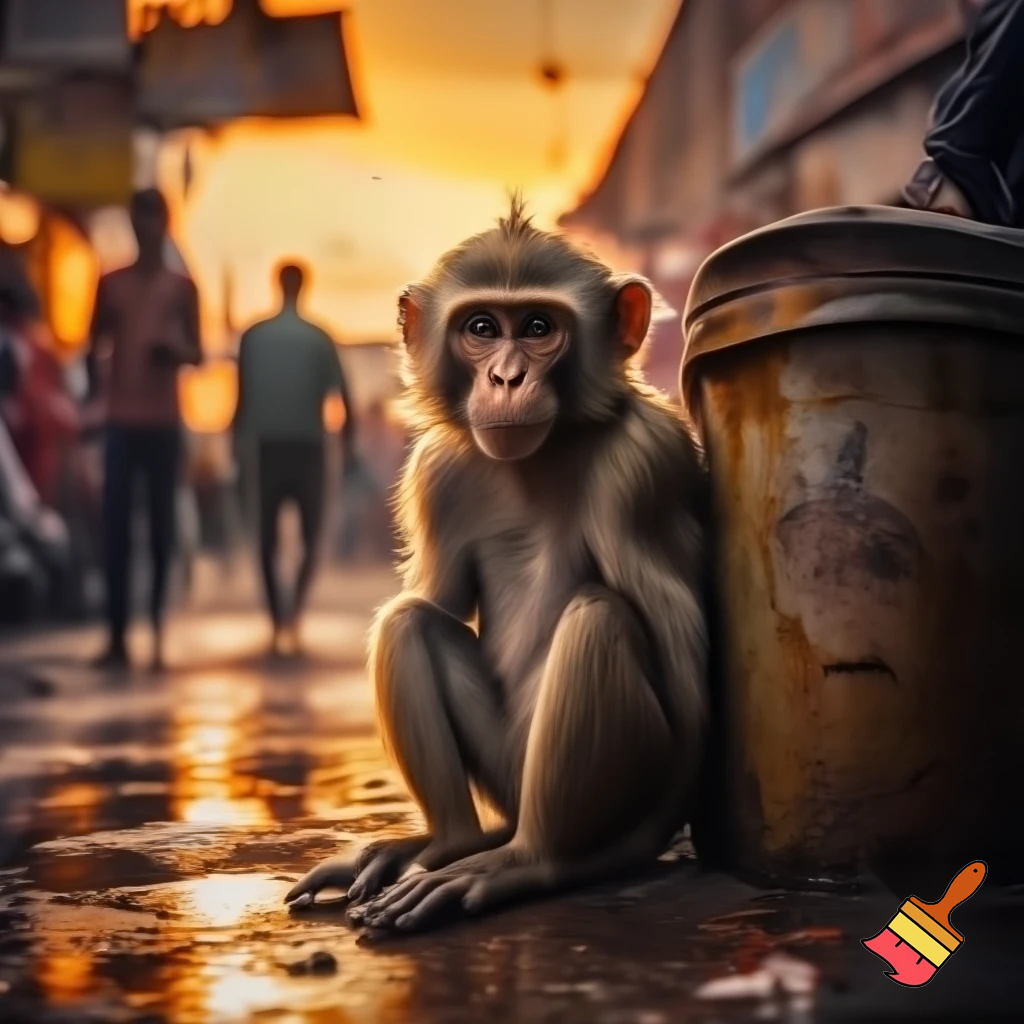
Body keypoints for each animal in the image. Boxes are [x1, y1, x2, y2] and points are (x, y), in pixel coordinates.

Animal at [284, 195, 709, 932]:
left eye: (539, 327)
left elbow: (685, 668)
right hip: (505, 771)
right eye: (481, 328)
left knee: (598, 617)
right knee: (407, 621)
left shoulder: (645, 458)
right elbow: (436, 601)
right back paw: (452, 840)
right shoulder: (436, 470)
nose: (507, 377)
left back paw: (532, 860)